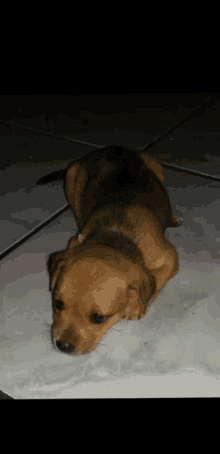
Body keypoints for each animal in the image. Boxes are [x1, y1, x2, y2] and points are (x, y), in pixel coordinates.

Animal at [36, 145, 180, 354]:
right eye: (58, 303)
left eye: (99, 318)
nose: (63, 346)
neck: (114, 237)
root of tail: (109, 149)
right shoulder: (75, 241)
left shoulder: (170, 256)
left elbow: (156, 281)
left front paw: (135, 306)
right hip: (72, 176)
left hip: (155, 165)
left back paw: (172, 218)